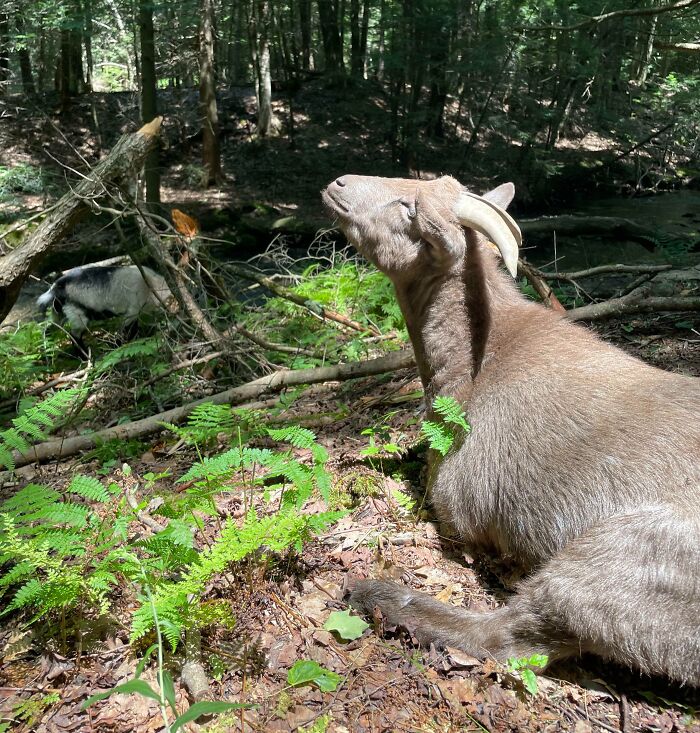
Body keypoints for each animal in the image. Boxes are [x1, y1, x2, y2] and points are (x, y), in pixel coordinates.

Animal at [37, 264, 172, 338]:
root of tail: (57, 287)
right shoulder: (132, 311)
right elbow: (127, 331)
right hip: (77, 313)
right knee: (74, 334)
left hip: (58, 313)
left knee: (49, 329)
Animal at [323, 174, 700, 685]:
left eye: (409, 207)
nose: (339, 183)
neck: (480, 357)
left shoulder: (458, 507)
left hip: (616, 561)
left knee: (508, 637)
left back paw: (378, 595)